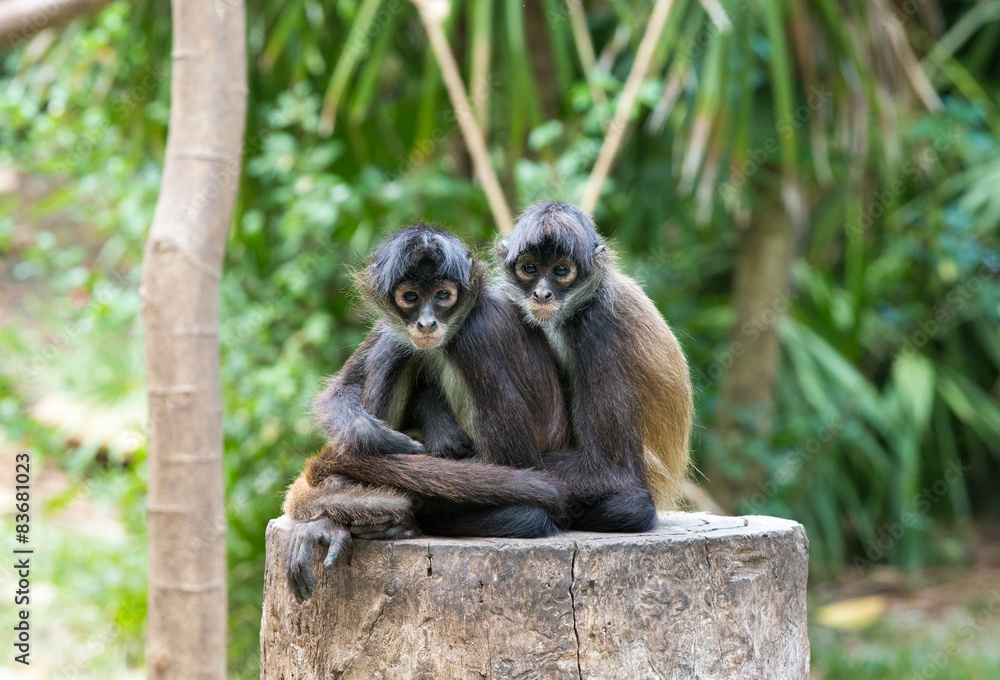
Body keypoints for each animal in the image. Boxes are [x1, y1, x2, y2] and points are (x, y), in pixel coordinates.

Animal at [283, 224, 573, 601]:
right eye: (410, 297)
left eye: (442, 295)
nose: (426, 322)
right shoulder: (390, 323)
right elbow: (338, 391)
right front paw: (375, 438)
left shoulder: (477, 333)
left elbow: (518, 464)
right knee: (395, 347)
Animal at [496, 201, 693, 533]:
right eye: (530, 268)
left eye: (561, 271)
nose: (541, 294)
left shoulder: (597, 326)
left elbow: (613, 470)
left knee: (634, 506)